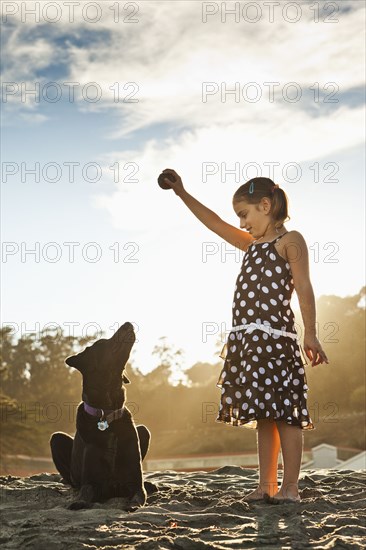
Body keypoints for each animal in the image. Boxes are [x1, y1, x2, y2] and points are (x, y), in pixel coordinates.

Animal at [49, 322, 156, 512]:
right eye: (103, 342)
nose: (128, 323)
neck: (106, 413)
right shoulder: (91, 482)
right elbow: (85, 494)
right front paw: (78, 502)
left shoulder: (135, 482)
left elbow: (138, 495)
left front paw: (133, 504)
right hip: (56, 439)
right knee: (71, 479)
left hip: (143, 431)